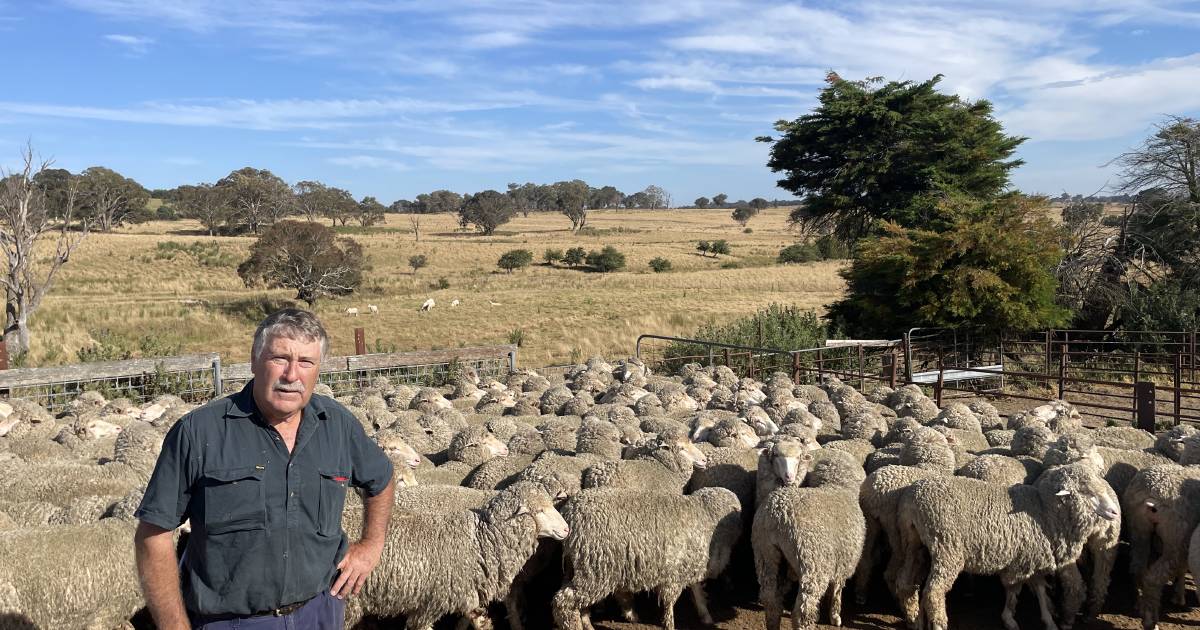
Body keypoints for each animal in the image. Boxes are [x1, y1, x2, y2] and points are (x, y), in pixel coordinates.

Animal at [343, 482, 566, 624]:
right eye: (539, 511)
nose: (566, 529)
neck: (480, 540)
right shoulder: (430, 604)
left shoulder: (466, 594)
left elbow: (481, 622)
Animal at [552, 487, 739, 628]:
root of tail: (571, 513)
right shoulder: (674, 574)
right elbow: (670, 603)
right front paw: (669, 624)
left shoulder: (688, 566)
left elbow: (697, 590)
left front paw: (705, 615)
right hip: (596, 569)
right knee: (563, 603)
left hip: (577, 566)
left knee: (576, 602)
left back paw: (587, 622)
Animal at [897, 460, 1118, 628]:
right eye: (1086, 491)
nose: (1115, 512)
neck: (1043, 511)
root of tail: (913, 497)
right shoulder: (1022, 561)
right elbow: (1014, 589)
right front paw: (1010, 619)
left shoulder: (1031, 557)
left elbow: (1039, 589)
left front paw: (1048, 620)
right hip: (947, 548)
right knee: (933, 592)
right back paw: (938, 624)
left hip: (913, 544)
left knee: (907, 584)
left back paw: (916, 621)